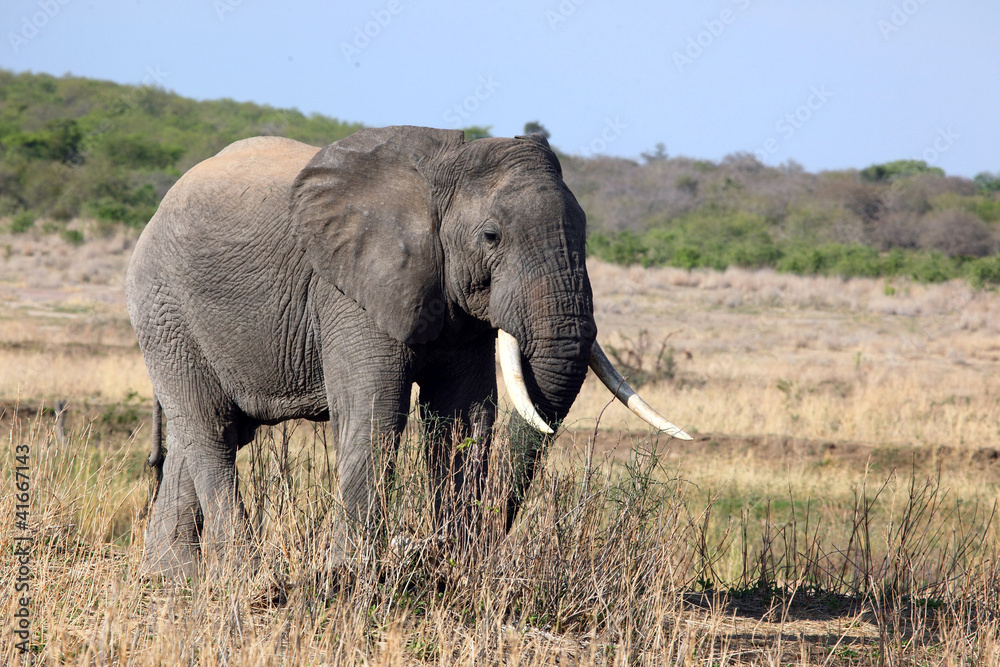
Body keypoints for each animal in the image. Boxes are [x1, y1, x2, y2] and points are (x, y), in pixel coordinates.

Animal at [126, 126, 690, 578]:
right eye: (492, 236)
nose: (478, 547)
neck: (440, 171)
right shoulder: (348, 286)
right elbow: (377, 409)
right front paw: (352, 574)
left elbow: (462, 416)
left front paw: (455, 568)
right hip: (164, 309)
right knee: (210, 429)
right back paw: (241, 573)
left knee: (208, 433)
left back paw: (169, 576)